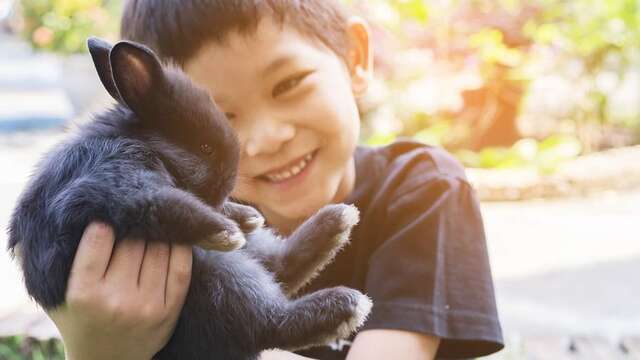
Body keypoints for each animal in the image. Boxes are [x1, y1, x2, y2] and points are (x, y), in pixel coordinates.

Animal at [6, 38, 370, 358]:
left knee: (279, 267)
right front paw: (225, 231)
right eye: (206, 148)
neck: (137, 139)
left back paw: (336, 221)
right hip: (218, 274)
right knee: (269, 319)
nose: (227, 185)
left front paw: (243, 217)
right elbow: (160, 204)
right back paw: (345, 302)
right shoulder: (112, 180)